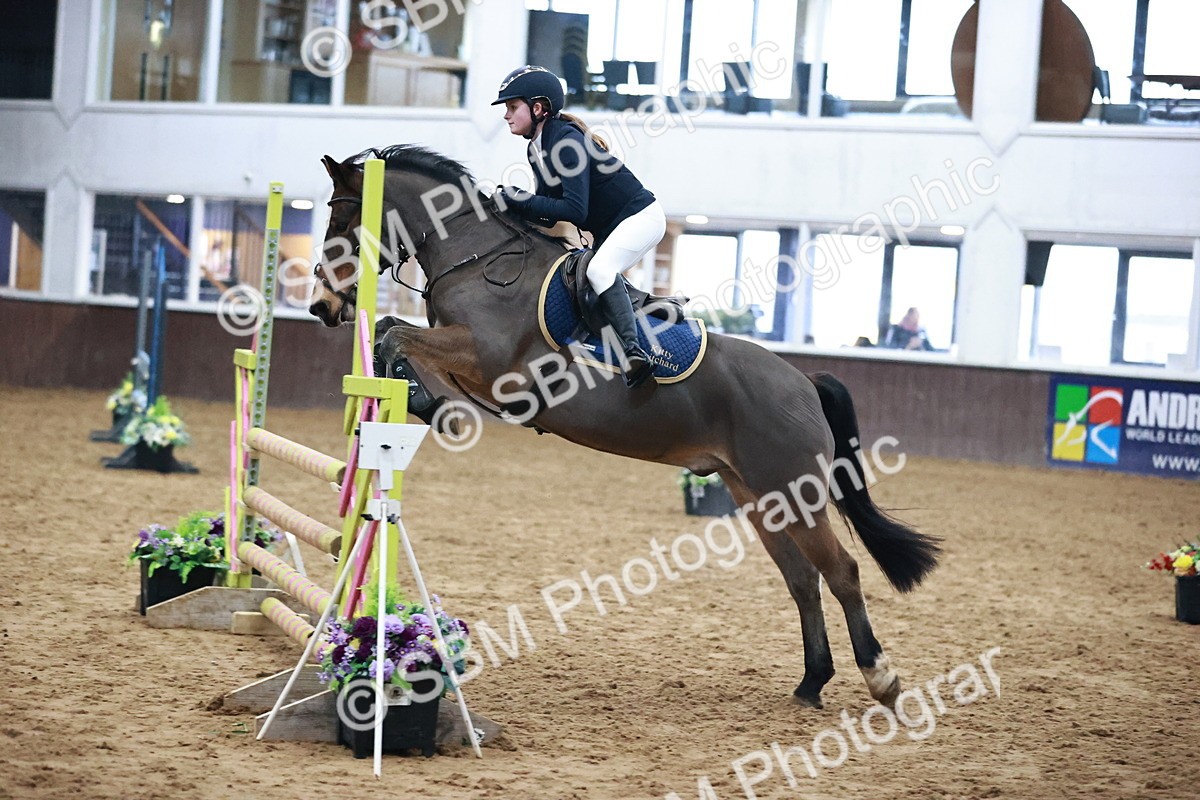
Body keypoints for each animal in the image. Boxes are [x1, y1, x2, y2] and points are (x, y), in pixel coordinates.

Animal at [309, 145, 941, 709]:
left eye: (341, 219)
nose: (320, 306)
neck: (481, 261)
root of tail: (805, 382)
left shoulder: (491, 361)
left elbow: (395, 334)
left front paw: (426, 402)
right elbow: (390, 330)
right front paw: (423, 401)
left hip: (795, 491)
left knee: (842, 572)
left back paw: (880, 678)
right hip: (759, 497)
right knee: (803, 579)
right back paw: (811, 683)